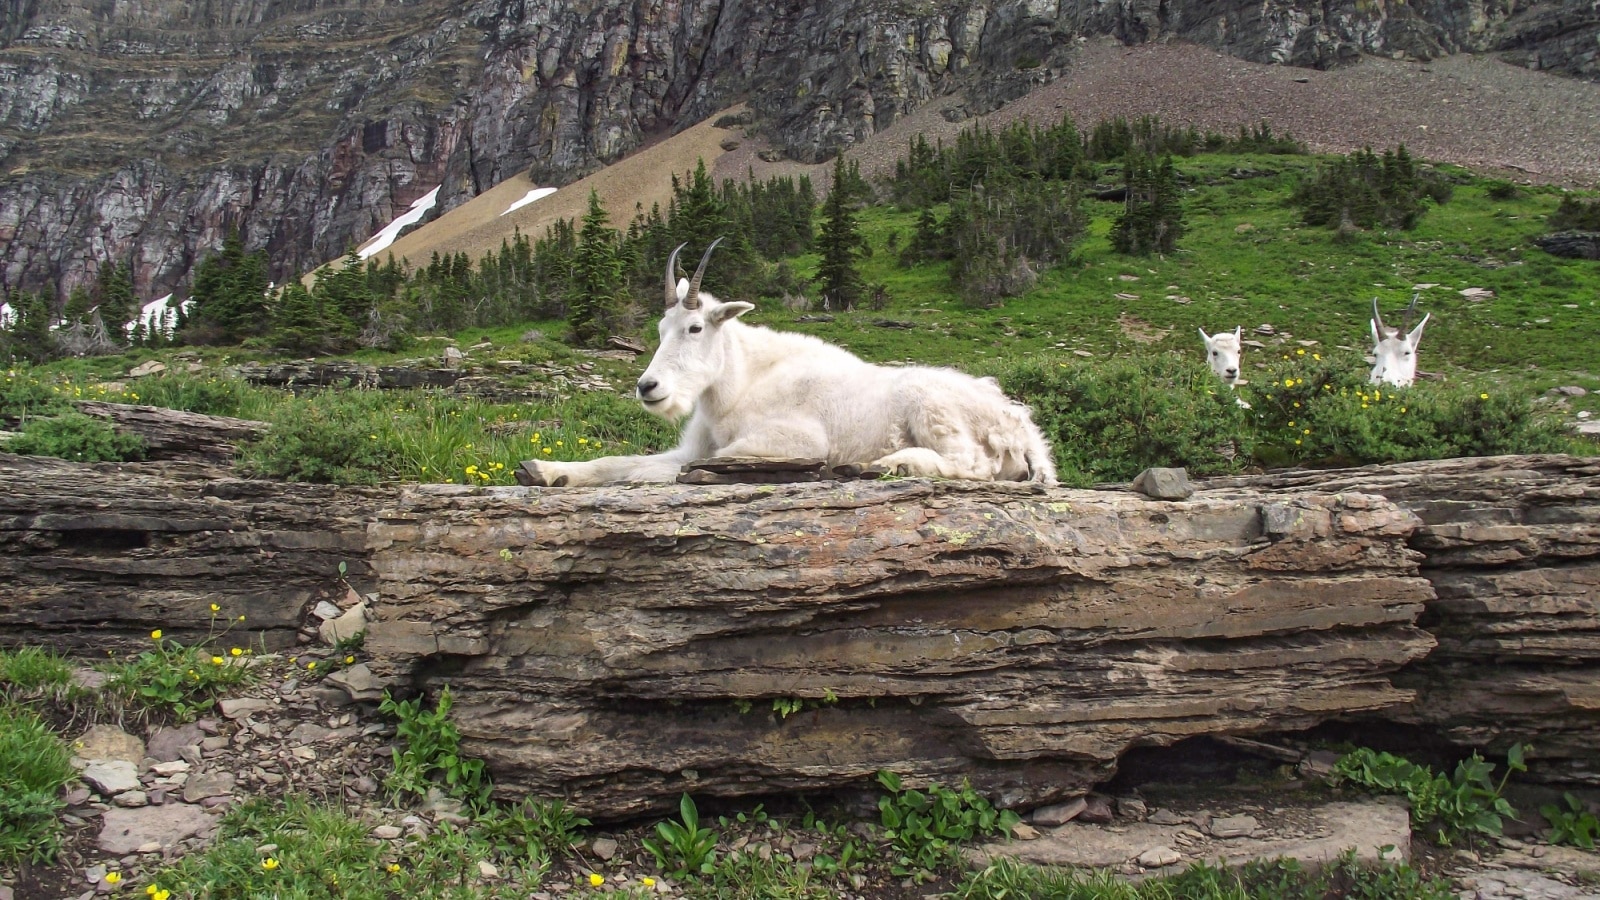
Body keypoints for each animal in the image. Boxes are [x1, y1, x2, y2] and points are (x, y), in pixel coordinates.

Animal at [518, 240, 1056, 483]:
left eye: (695, 329)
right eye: (659, 330)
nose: (648, 388)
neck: (740, 385)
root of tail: (1023, 431)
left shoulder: (794, 439)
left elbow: (692, 466)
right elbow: (618, 460)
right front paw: (545, 470)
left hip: (932, 407)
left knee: (970, 465)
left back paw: (888, 463)